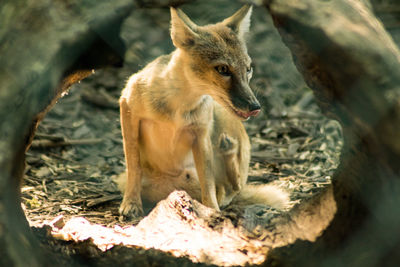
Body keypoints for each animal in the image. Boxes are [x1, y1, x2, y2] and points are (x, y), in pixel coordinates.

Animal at [117, 5, 290, 219]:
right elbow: (133, 167)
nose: (255, 107)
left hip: (219, 119)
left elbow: (208, 183)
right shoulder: (127, 107)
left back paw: (228, 151)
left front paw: (211, 211)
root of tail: (169, 186)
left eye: (248, 69)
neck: (178, 107)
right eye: (223, 69)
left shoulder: (200, 134)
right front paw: (131, 203)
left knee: (232, 188)